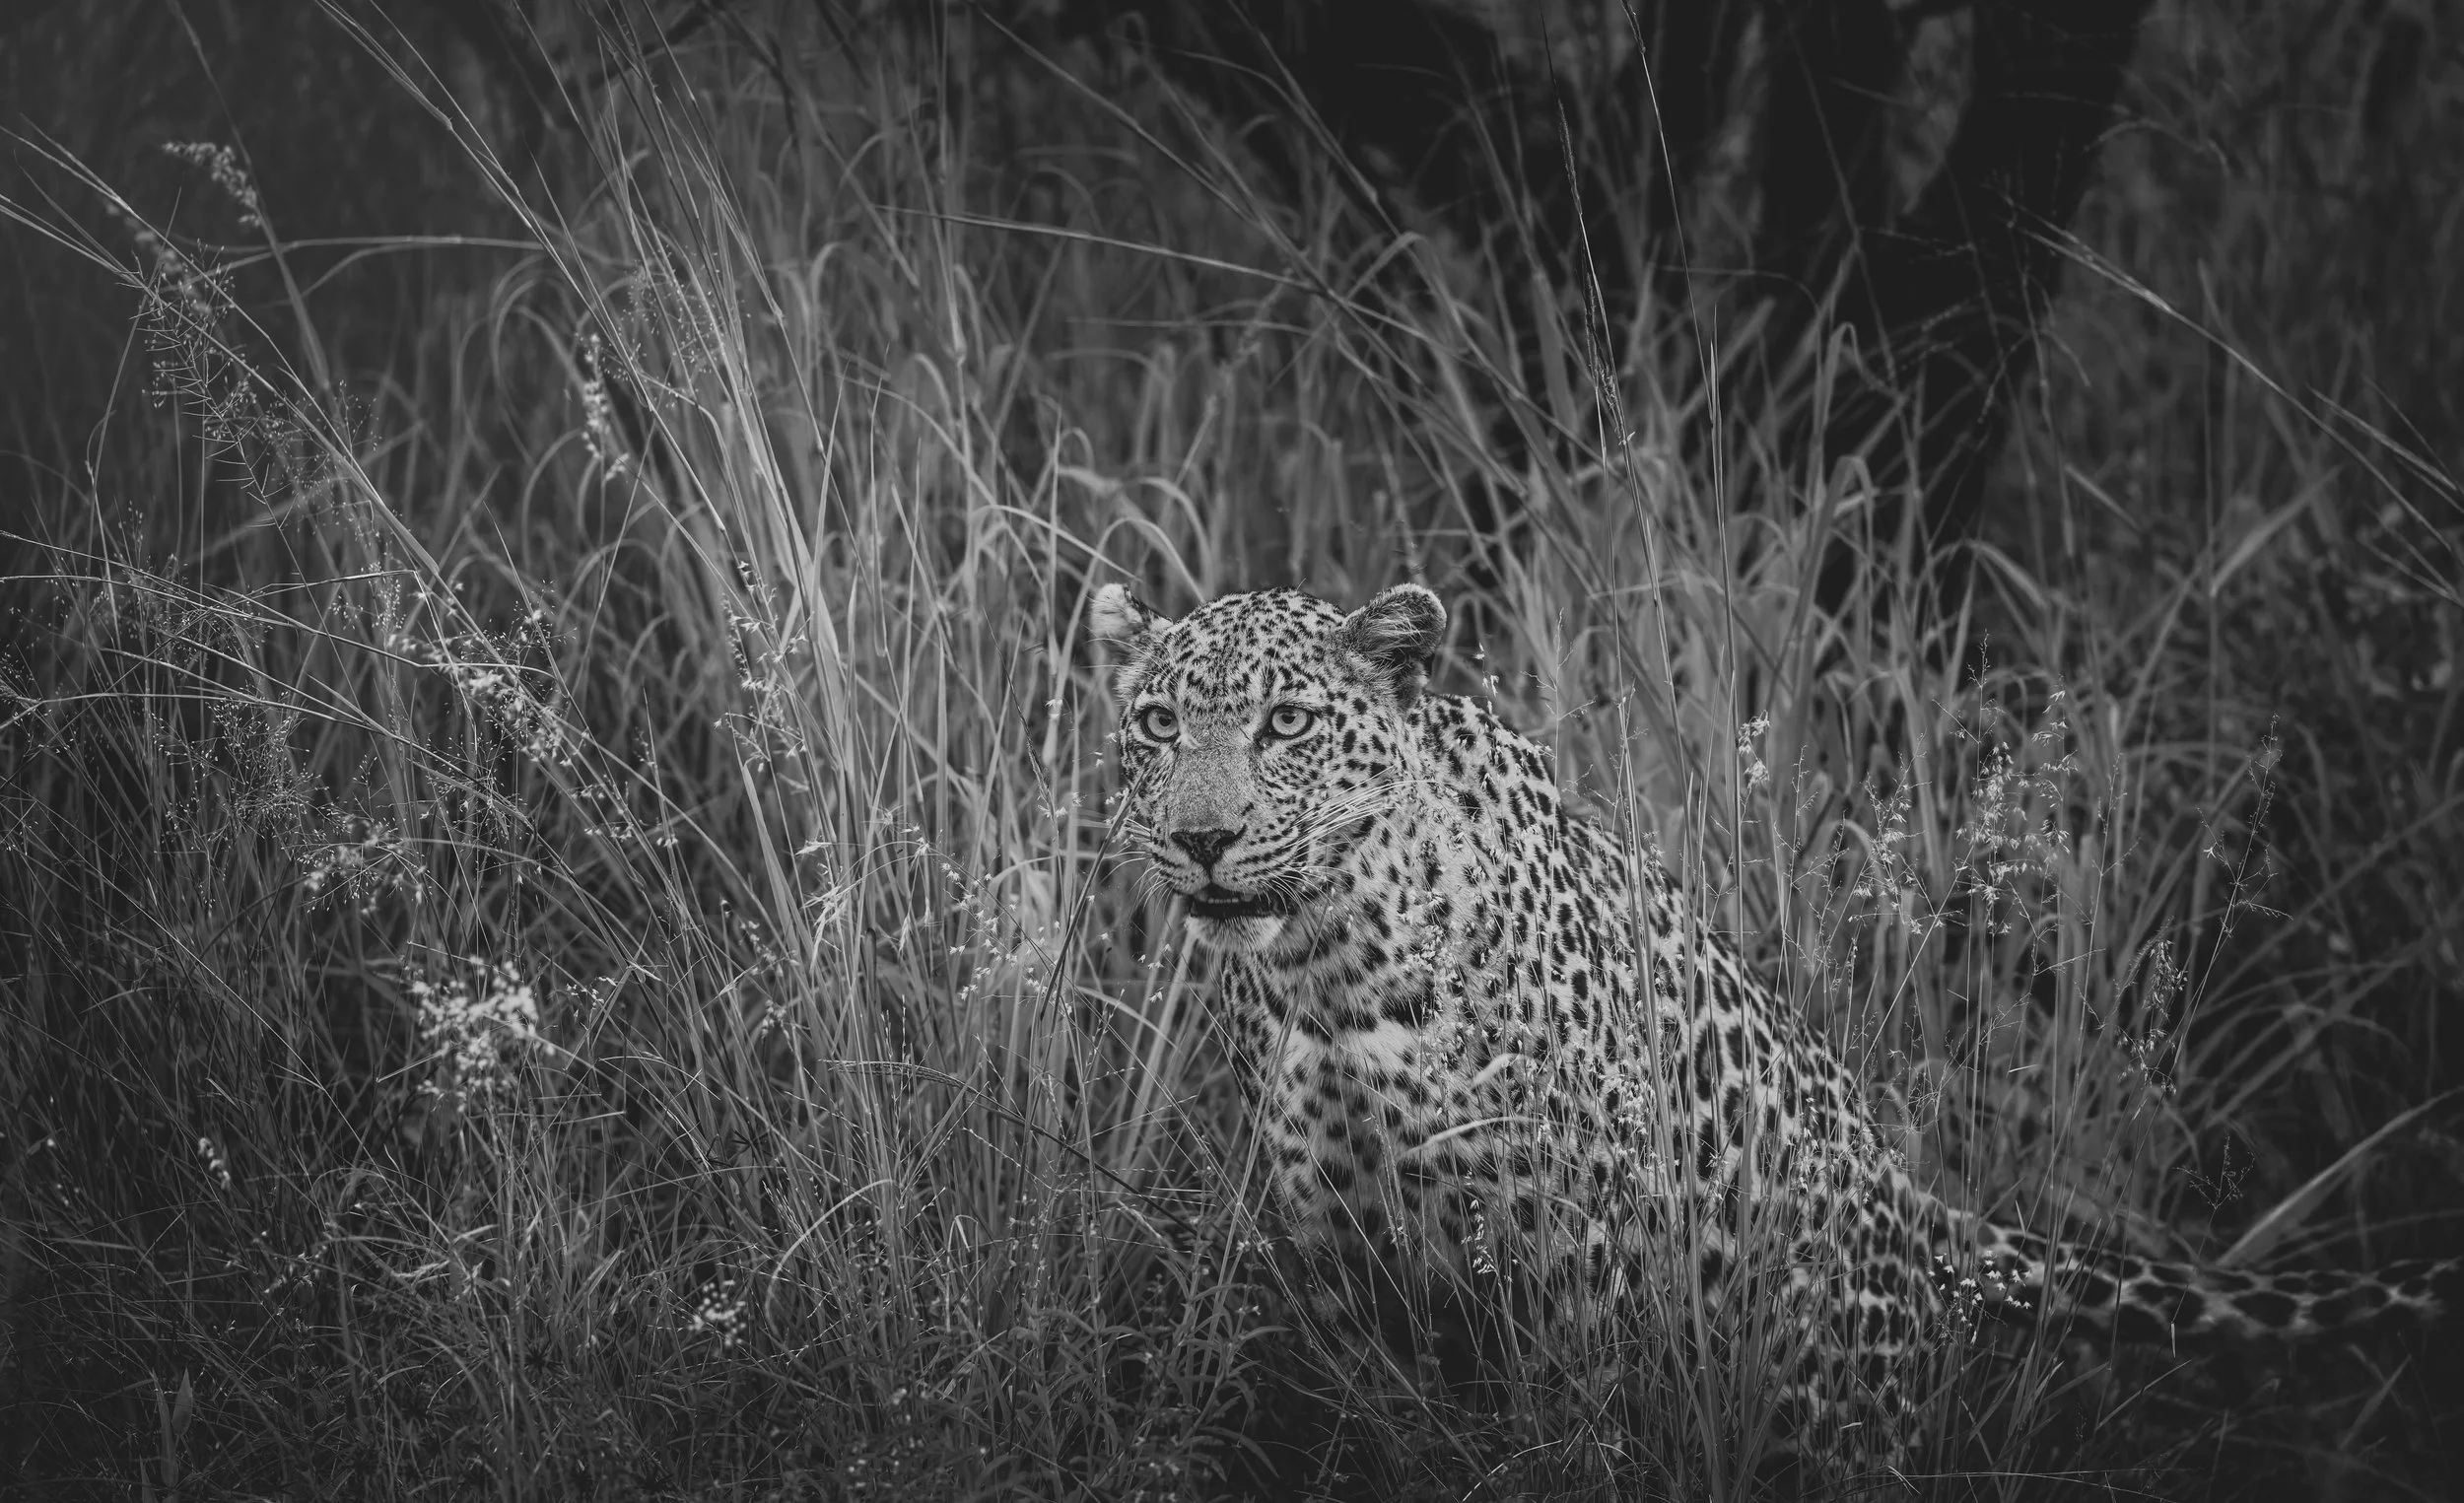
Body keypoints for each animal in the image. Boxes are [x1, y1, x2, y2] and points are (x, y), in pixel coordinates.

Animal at [1089, 579, 2459, 1482]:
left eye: (1286, 724)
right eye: (1157, 724)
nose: (1201, 837)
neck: (1335, 977)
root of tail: (1914, 1202)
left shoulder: (1570, 1266)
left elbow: (1565, 1447)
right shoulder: (1345, 1275)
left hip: (1826, 1396)